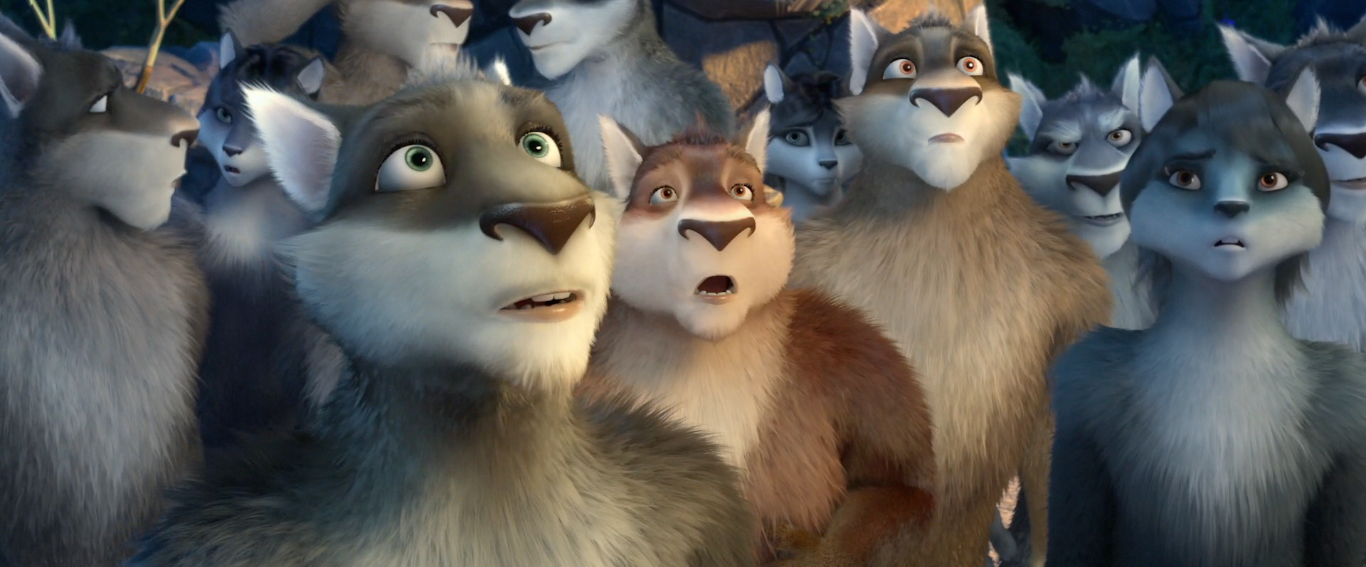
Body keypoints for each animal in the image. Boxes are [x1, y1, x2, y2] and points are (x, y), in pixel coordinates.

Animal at [580, 110, 936, 565]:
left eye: (742, 190)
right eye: (664, 193)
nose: (719, 231)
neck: (706, 354)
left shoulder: (860, 360)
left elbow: (902, 487)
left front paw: (813, 554)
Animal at [1048, 66, 1366, 567]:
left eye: (1270, 180)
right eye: (1186, 177)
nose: (1231, 208)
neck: (1223, 337)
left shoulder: (1350, 421)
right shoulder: (1082, 407)